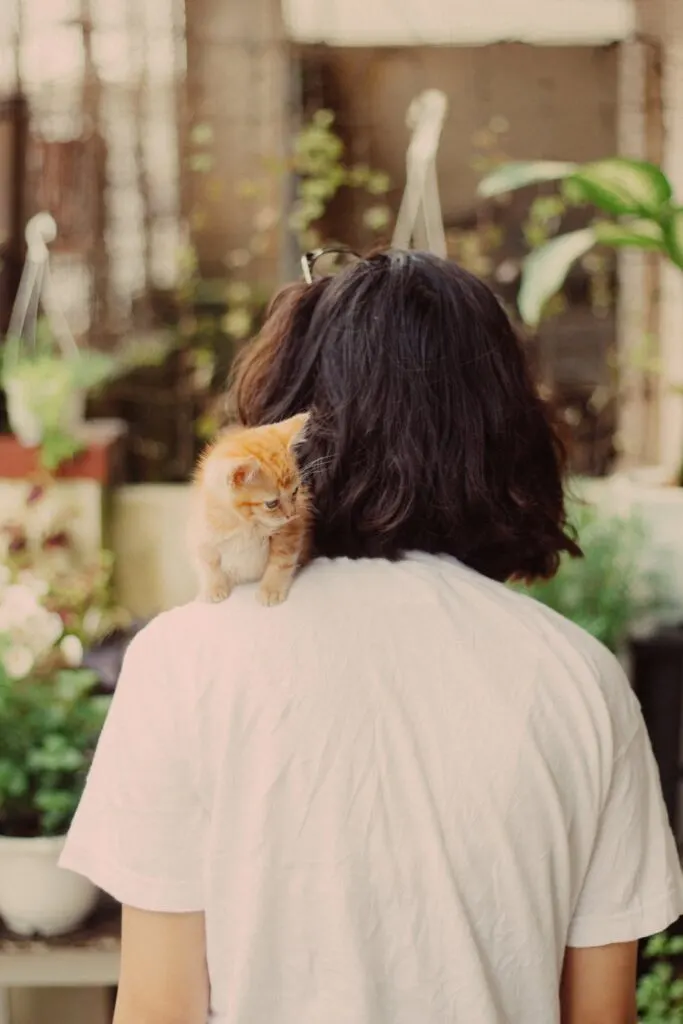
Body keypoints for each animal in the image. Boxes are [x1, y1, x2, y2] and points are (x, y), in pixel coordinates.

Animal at [189, 413, 313, 606]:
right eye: (271, 503)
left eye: (295, 492)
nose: (291, 514)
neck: (247, 524)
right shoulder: (203, 530)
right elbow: (208, 561)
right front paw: (213, 588)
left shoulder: (290, 531)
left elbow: (281, 561)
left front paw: (271, 589)